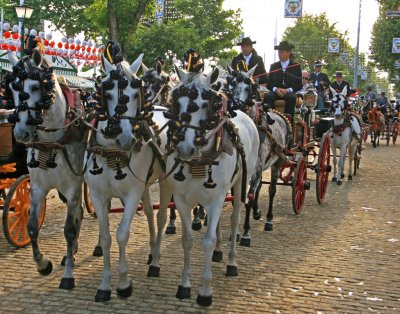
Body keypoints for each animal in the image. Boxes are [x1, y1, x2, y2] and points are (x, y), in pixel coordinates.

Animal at [7, 48, 85, 290]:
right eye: (12, 88)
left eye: (34, 87)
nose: (21, 133)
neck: (51, 141)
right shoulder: (38, 187)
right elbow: (32, 226)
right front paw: (43, 264)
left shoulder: (73, 187)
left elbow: (68, 229)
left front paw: (68, 274)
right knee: (80, 212)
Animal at [84, 54, 172, 302]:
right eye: (107, 92)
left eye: (135, 93)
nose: (125, 137)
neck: (112, 152)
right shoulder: (97, 195)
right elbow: (106, 237)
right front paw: (105, 285)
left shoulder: (132, 193)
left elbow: (122, 234)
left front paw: (123, 283)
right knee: (150, 213)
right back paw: (151, 252)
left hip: (166, 181)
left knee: (161, 217)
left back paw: (156, 261)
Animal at [165, 67, 260, 306]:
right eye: (177, 103)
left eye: (206, 105)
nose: (185, 148)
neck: (199, 160)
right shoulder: (181, 200)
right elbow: (187, 240)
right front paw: (184, 286)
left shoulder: (216, 200)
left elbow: (207, 241)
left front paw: (205, 292)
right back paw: (218, 252)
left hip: (241, 183)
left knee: (235, 220)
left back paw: (232, 262)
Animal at [225, 67, 290, 238]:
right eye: (231, 86)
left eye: (248, 88)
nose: (235, 106)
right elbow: (237, 199)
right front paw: (237, 232)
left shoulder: (256, 168)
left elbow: (247, 198)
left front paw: (246, 232)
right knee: (260, 186)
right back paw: (256, 212)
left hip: (277, 162)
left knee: (272, 189)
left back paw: (268, 220)